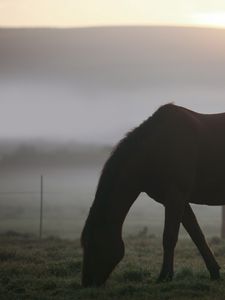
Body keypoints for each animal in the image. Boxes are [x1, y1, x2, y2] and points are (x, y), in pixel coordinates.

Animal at [80, 104, 224, 288]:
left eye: (92, 243)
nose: (87, 283)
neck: (157, 147)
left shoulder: (176, 196)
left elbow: (169, 237)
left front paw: (165, 276)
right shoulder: (177, 200)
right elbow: (197, 235)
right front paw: (214, 272)